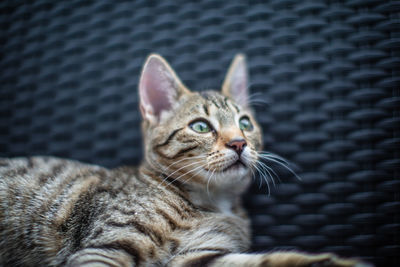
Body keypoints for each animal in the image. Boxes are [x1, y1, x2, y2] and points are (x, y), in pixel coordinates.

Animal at [0, 55, 372, 267]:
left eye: (245, 123)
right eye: (201, 127)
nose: (239, 142)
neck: (211, 202)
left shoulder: (197, 256)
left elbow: (271, 260)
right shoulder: (104, 247)